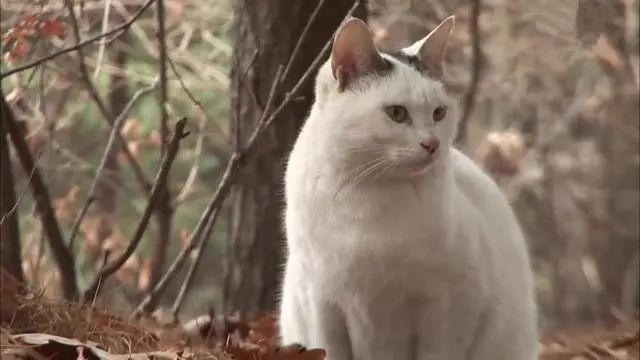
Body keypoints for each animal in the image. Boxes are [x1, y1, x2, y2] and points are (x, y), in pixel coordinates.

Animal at [282, 15, 540, 360]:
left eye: (439, 113)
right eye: (396, 113)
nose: (432, 144)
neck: (370, 196)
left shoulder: (447, 307)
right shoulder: (320, 306)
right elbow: (329, 349)